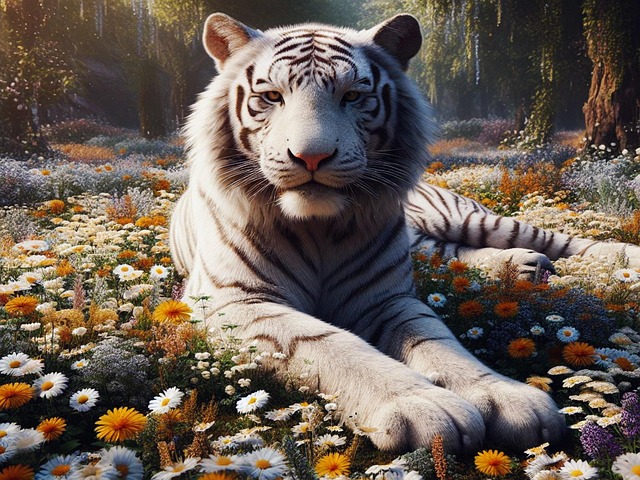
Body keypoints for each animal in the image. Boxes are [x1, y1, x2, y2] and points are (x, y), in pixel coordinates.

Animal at [170, 12, 640, 453]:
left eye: (353, 96)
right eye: (271, 96)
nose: (312, 157)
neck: (317, 226)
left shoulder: (387, 297)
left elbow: (436, 339)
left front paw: (506, 396)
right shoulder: (236, 302)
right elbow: (327, 342)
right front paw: (423, 406)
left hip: (467, 218)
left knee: (552, 239)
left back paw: (616, 257)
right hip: (433, 242)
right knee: (457, 254)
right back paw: (523, 267)